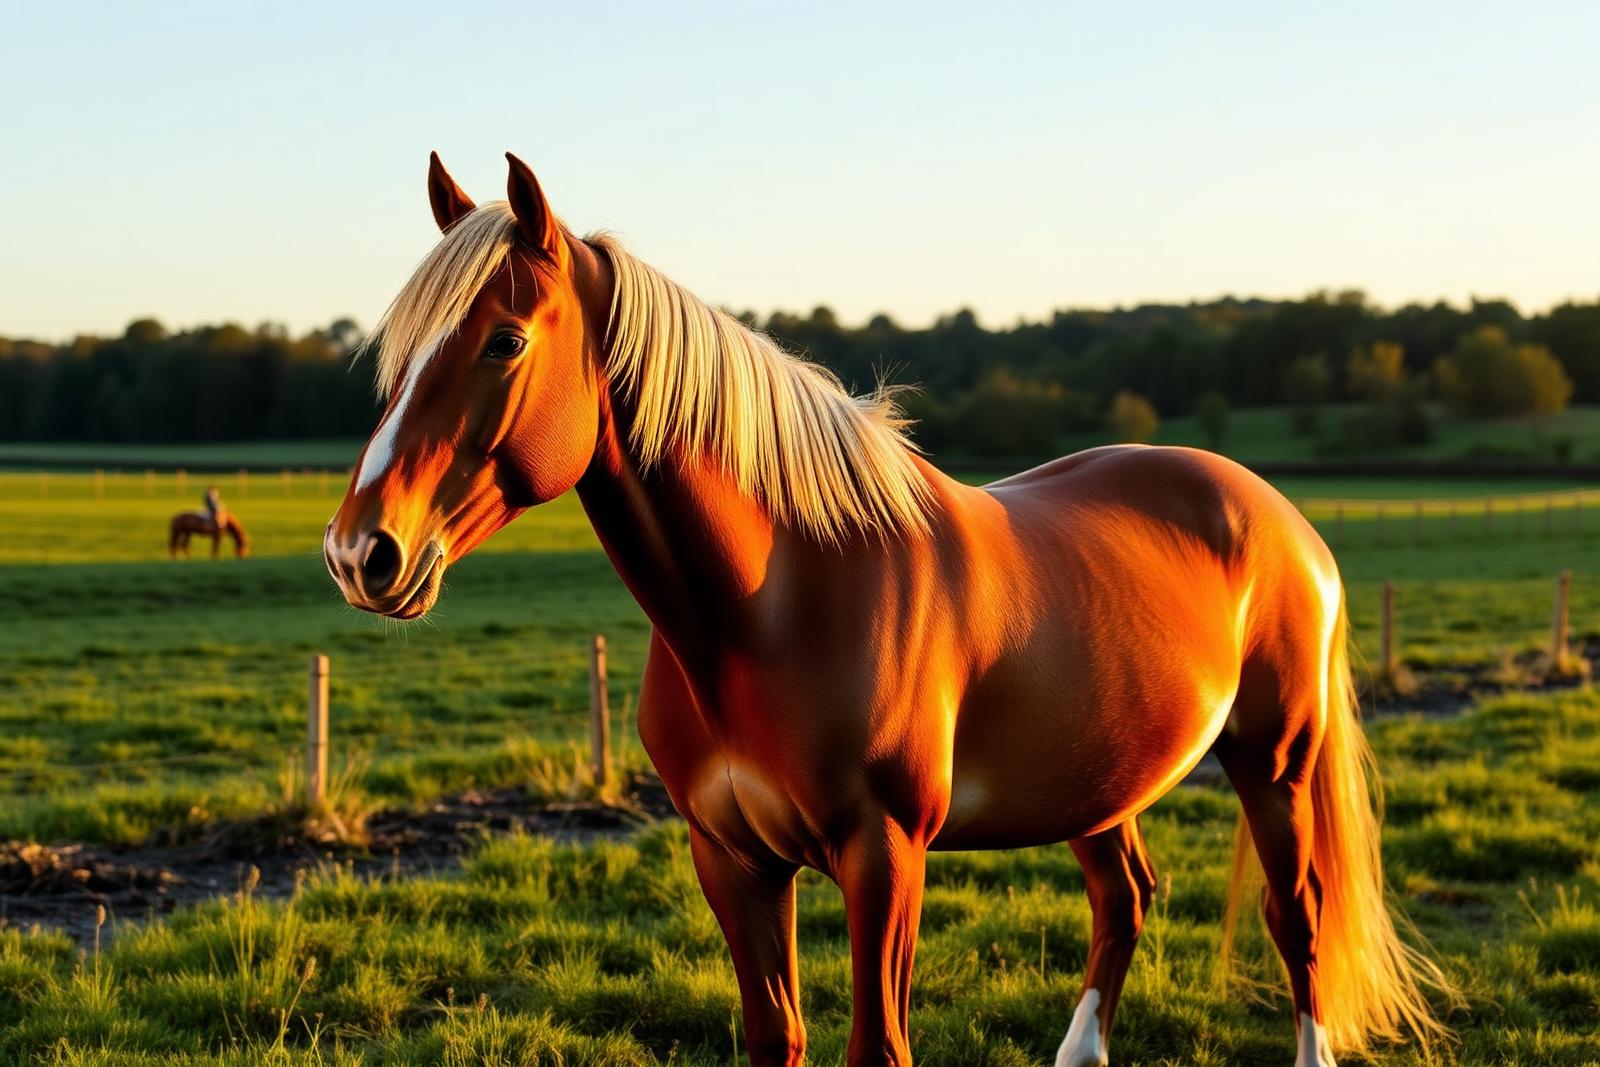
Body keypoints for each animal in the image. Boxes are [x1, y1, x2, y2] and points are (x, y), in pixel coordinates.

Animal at [324, 153, 1454, 1066]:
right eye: (396, 354)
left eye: (506, 341)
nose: (360, 552)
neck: (775, 604)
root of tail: (1283, 520)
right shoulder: (731, 860)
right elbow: (774, 1037)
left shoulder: (884, 854)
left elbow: (879, 1042)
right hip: (1100, 779)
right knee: (1124, 897)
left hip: (1275, 762)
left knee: (1296, 915)